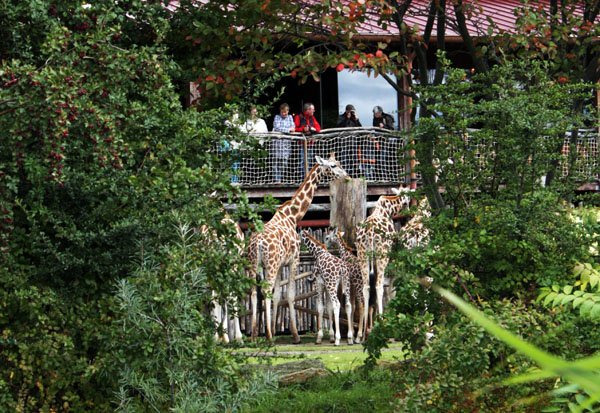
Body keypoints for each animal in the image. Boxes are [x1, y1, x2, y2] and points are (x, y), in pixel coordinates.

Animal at [245, 154, 346, 342]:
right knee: (265, 290)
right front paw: (294, 334)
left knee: (255, 292)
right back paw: (267, 336)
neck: (292, 216)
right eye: (333, 166)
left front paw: (276, 329)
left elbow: (278, 295)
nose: (345, 175)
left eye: (339, 163)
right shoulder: (294, 260)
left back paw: (255, 335)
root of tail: (257, 243)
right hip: (269, 264)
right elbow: (290, 295)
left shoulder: (280, 265)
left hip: (254, 264)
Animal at [356, 187, 412, 338]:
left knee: (366, 287)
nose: (408, 214)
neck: (386, 210)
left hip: (363, 256)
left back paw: (363, 332)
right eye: (406, 202)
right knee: (379, 286)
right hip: (382, 255)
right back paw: (382, 323)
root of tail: (370, 232)